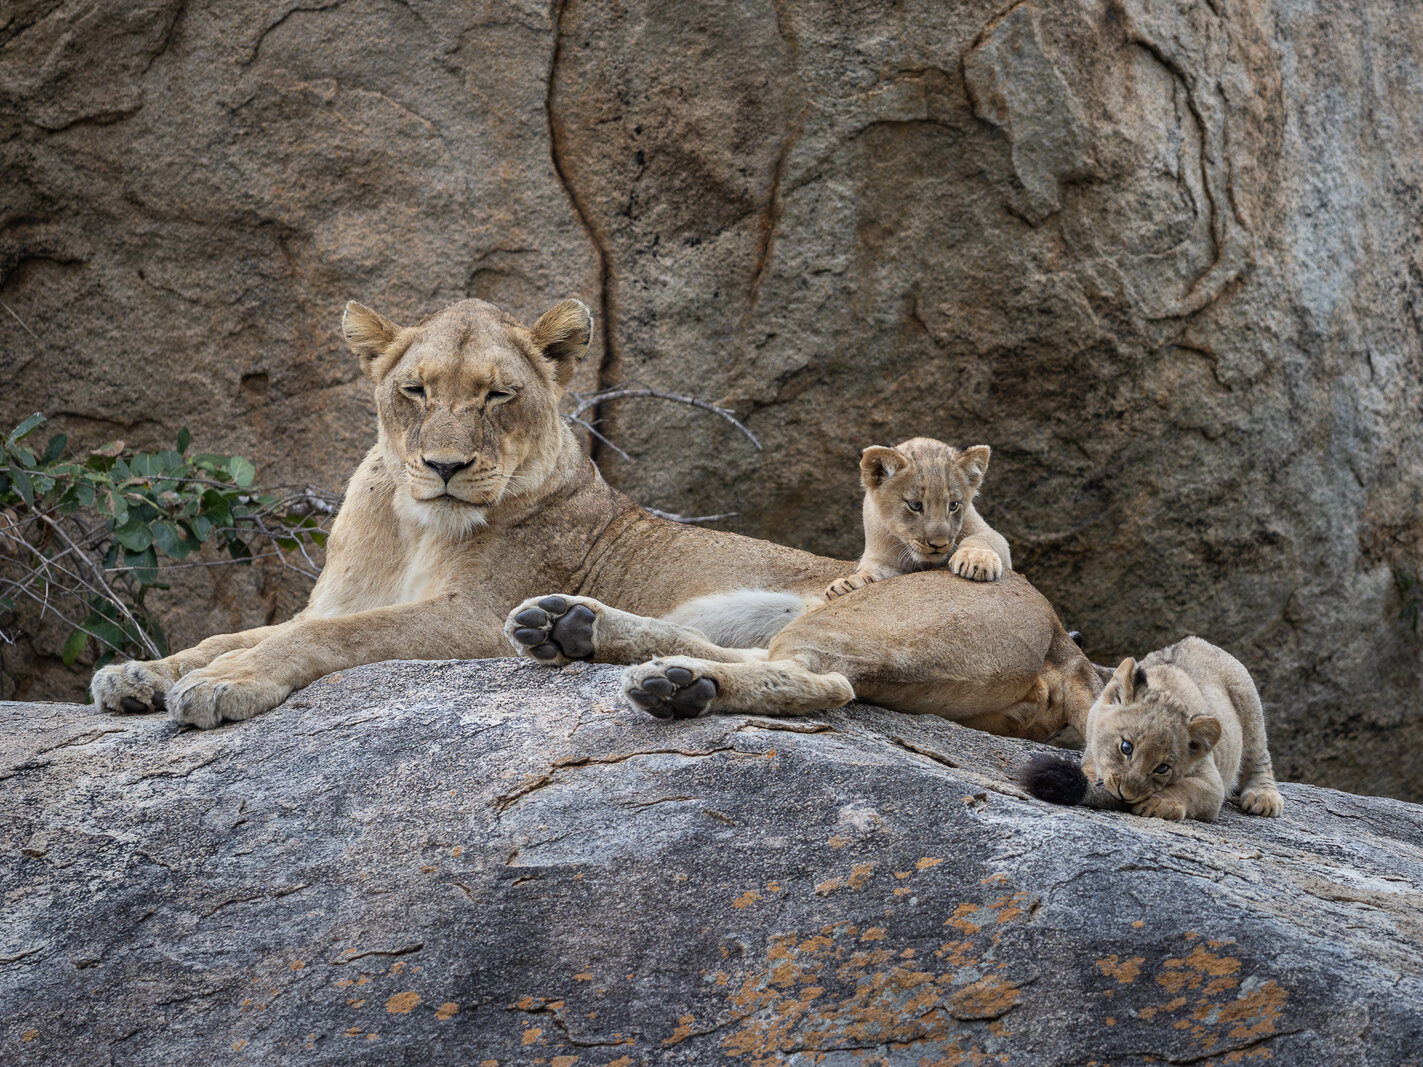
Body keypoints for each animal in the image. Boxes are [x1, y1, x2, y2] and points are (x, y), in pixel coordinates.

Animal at [824, 438, 1010, 601]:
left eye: (953, 505)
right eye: (915, 505)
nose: (939, 545)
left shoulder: (989, 534)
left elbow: (982, 538)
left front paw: (976, 560)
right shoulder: (880, 557)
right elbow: (872, 571)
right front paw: (846, 584)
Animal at [1019, 636, 1283, 821]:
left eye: (1162, 768)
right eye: (1126, 747)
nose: (1126, 794)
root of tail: (1199, 640)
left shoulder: (1213, 784)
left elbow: (1188, 788)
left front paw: (1159, 803)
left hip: (1249, 706)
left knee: (1259, 757)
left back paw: (1263, 797)